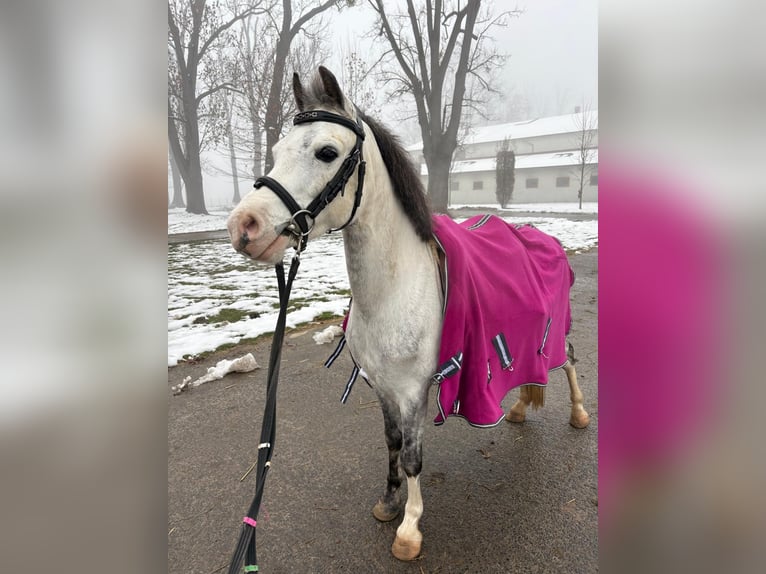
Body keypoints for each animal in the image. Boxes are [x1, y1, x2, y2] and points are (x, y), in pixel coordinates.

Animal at [226, 66, 590, 562]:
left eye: (327, 152)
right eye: (279, 151)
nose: (244, 227)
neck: (393, 291)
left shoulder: (415, 389)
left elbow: (415, 456)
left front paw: (410, 529)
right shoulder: (382, 385)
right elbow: (393, 443)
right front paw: (388, 501)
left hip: (555, 334)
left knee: (567, 360)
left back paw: (579, 414)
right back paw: (516, 409)